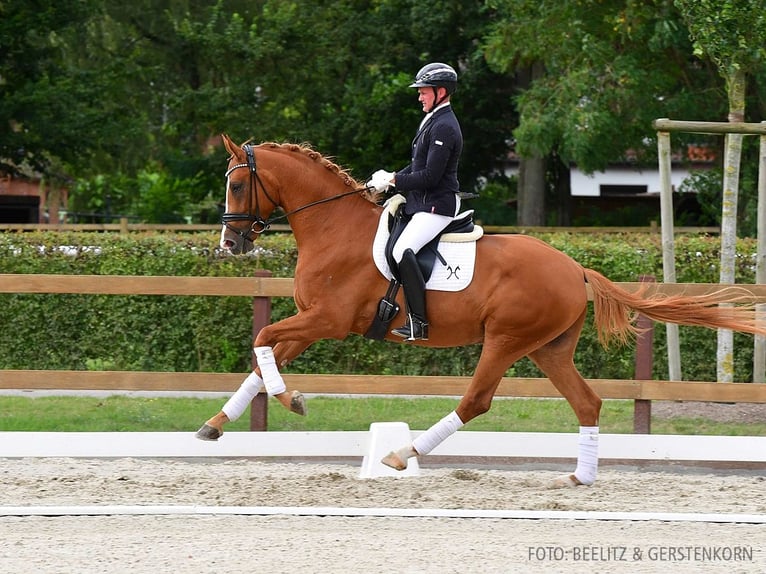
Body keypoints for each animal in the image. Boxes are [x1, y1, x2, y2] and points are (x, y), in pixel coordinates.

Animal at [198, 136, 766, 490]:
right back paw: (581, 477)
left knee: (476, 400)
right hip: (548, 349)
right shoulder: (313, 321)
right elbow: (261, 357)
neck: (334, 227)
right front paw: (215, 425)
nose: (229, 244)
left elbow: (262, 340)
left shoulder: (329, 320)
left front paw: (290, 399)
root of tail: (575, 268)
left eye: (237, 185)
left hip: (506, 340)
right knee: (587, 403)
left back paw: (403, 455)